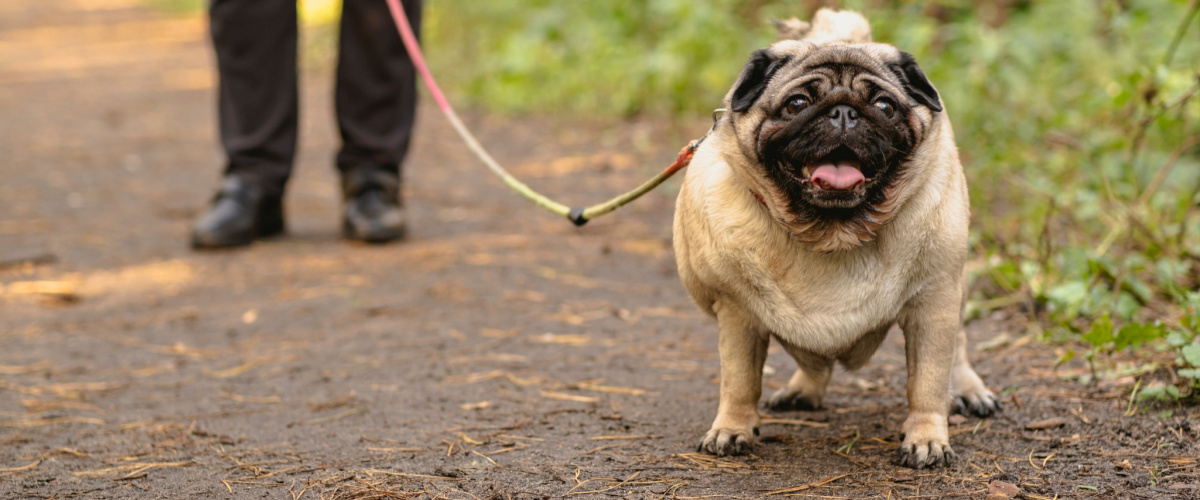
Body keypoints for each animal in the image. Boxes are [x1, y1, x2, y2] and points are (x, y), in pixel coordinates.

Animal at [672, 8, 998, 467]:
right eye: (797, 104)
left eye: (885, 106)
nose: (844, 112)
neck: (833, 232)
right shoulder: (739, 316)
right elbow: (739, 382)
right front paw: (732, 429)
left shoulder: (933, 305)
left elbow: (928, 383)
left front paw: (927, 438)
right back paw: (802, 390)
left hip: (953, 283)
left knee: (960, 346)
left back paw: (969, 390)